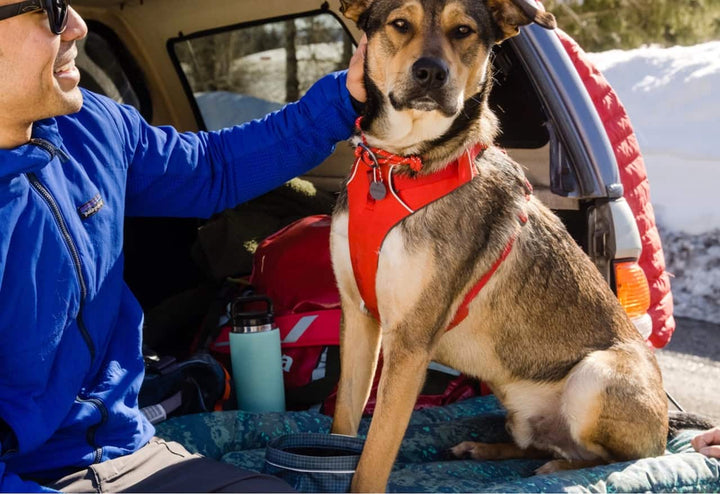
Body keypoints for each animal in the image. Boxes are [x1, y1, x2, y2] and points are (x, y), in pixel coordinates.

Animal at [332, 1, 676, 492]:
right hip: (516, 401)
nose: (430, 73)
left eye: (463, 31)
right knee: (541, 443)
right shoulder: (359, 318)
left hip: (597, 375)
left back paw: (557, 469)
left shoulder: (410, 341)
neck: (398, 163)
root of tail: (667, 428)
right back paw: (485, 448)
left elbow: (373, 458)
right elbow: (342, 427)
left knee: (608, 458)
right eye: (400, 24)